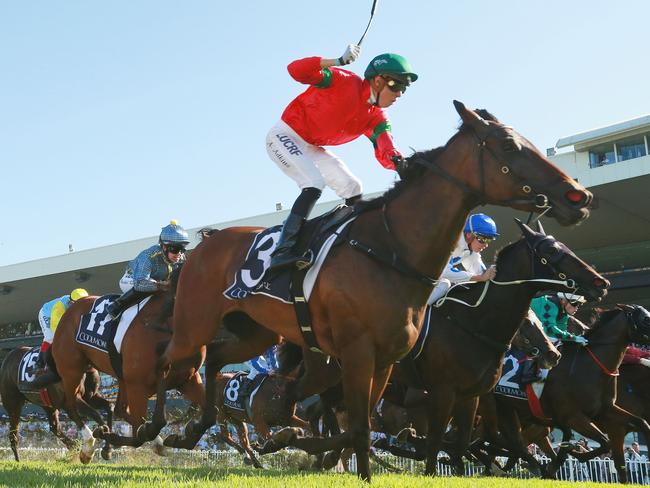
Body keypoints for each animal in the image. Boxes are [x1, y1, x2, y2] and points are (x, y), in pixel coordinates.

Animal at [140, 100, 592, 480]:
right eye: (509, 145)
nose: (580, 196)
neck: (392, 248)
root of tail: (204, 243)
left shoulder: (389, 359)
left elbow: (363, 427)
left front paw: (301, 442)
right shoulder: (365, 355)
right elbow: (361, 427)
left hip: (256, 332)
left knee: (215, 361)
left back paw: (198, 427)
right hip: (194, 323)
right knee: (167, 361)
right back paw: (155, 431)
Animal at [484, 306, 648, 482]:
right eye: (645, 319)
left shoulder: (606, 410)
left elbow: (641, 424)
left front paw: (565, 452)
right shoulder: (573, 416)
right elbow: (605, 444)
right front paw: (573, 451)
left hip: (510, 411)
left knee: (511, 442)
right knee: (501, 441)